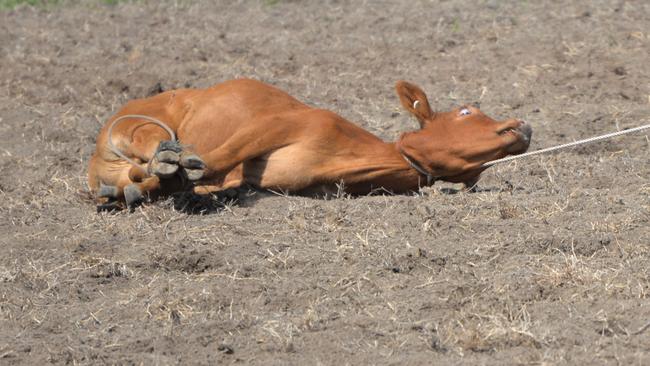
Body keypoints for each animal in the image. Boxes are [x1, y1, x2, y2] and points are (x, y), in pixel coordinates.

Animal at [87, 78, 532, 207]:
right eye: (466, 112)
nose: (521, 125)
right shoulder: (274, 125)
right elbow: (211, 160)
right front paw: (176, 171)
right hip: (143, 124)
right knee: (151, 147)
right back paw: (160, 162)